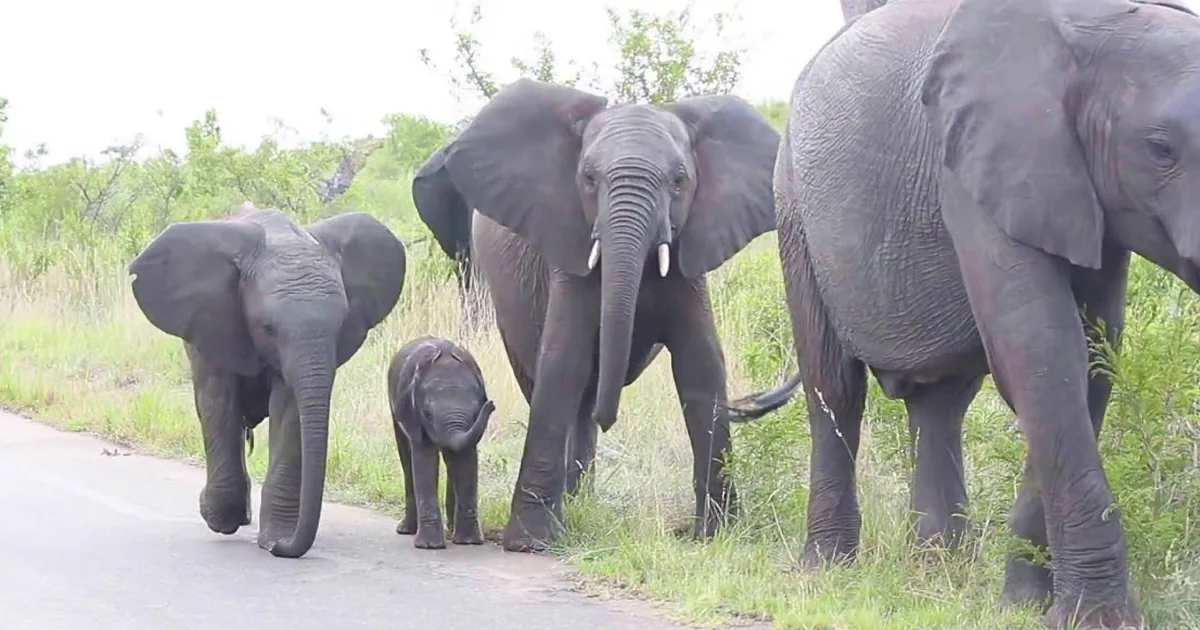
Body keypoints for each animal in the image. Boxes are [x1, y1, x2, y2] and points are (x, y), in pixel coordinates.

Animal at [128, 205, 407, 558]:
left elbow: (289, 410)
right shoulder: (212, 321)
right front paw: (220, 519)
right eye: (268, 327)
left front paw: (274, 538)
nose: (282, 548)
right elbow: (218, 401)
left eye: (342, 324)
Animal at [388, 335, 495, 549]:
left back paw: (451, 531)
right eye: (427, 413)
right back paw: (407, 530)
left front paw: (469, 542)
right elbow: (424, 459)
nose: (492, 404)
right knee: (407, 459)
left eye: (476, 410)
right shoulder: (412, 413)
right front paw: (430, 546)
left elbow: (466, 460)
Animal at [724, 0, 1200, 627]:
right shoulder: (980, 165)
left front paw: (1022, 604)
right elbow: (1041, 349)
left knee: (940, 402)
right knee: (835, 387)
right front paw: (1093, 619)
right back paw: (827, 570)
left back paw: (934, 572)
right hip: (794, 203)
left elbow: (1091, 356)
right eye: (1160, 150)